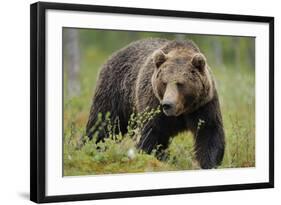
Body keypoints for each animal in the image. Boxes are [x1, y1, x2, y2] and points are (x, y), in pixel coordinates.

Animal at [84, 37, 224, 169]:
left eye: (180, 83)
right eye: (164, 82)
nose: (168, 104)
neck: (182, 111)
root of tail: (114, 54)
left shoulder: (203, 105)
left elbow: (209, 133)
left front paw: (207, 163)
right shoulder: (153, 104)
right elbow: (152, 135)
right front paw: (165, 158)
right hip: (115, 93)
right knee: (101, 125)